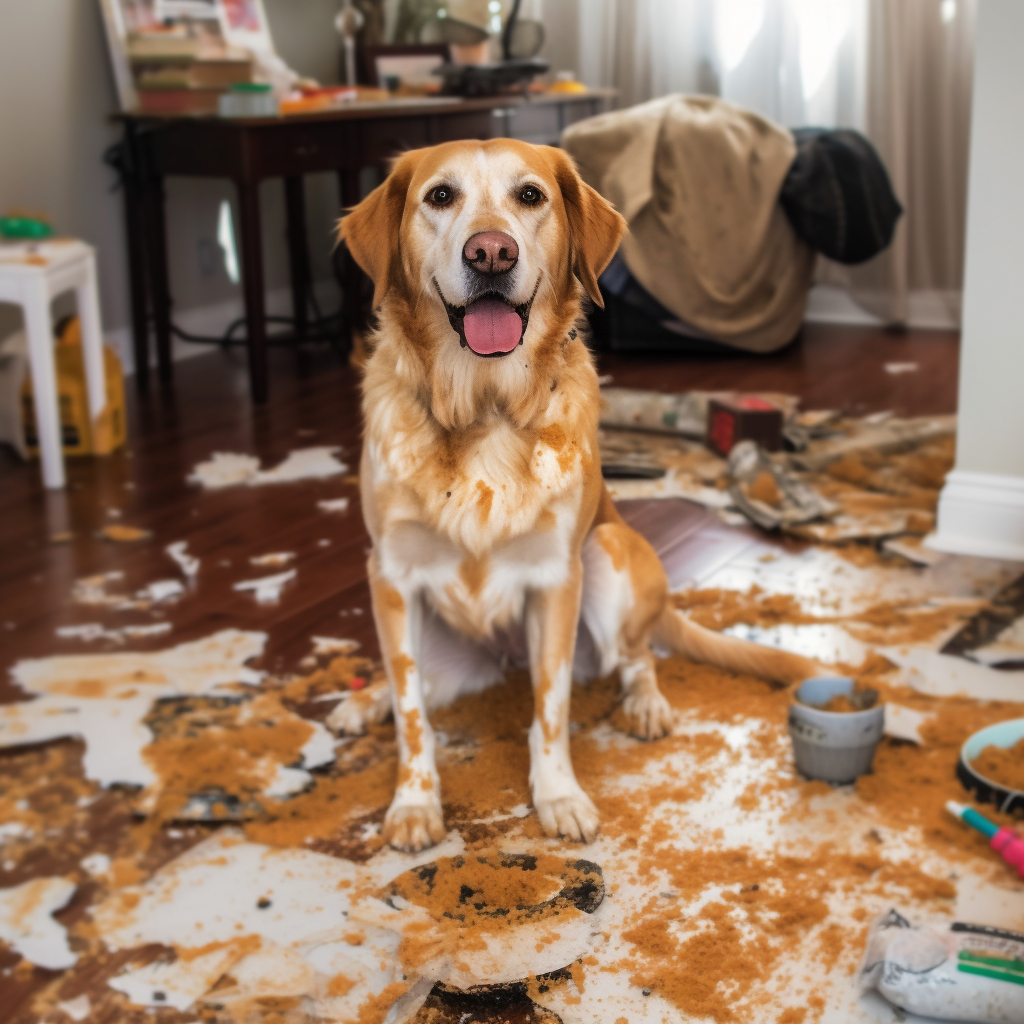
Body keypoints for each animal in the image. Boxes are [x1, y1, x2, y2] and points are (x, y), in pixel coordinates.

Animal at [335, 140, 815, 851]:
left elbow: (552, 706)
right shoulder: (391, 577)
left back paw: (645, 703)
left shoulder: (558, 578)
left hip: (608, 558)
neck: (485, 408)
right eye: (440, 196)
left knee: (638, 657)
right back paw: (361, 701)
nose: (491, 253)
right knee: (405, 688)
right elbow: (411, 711)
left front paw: (558, 795)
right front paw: (415, 803)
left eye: (530, 196)